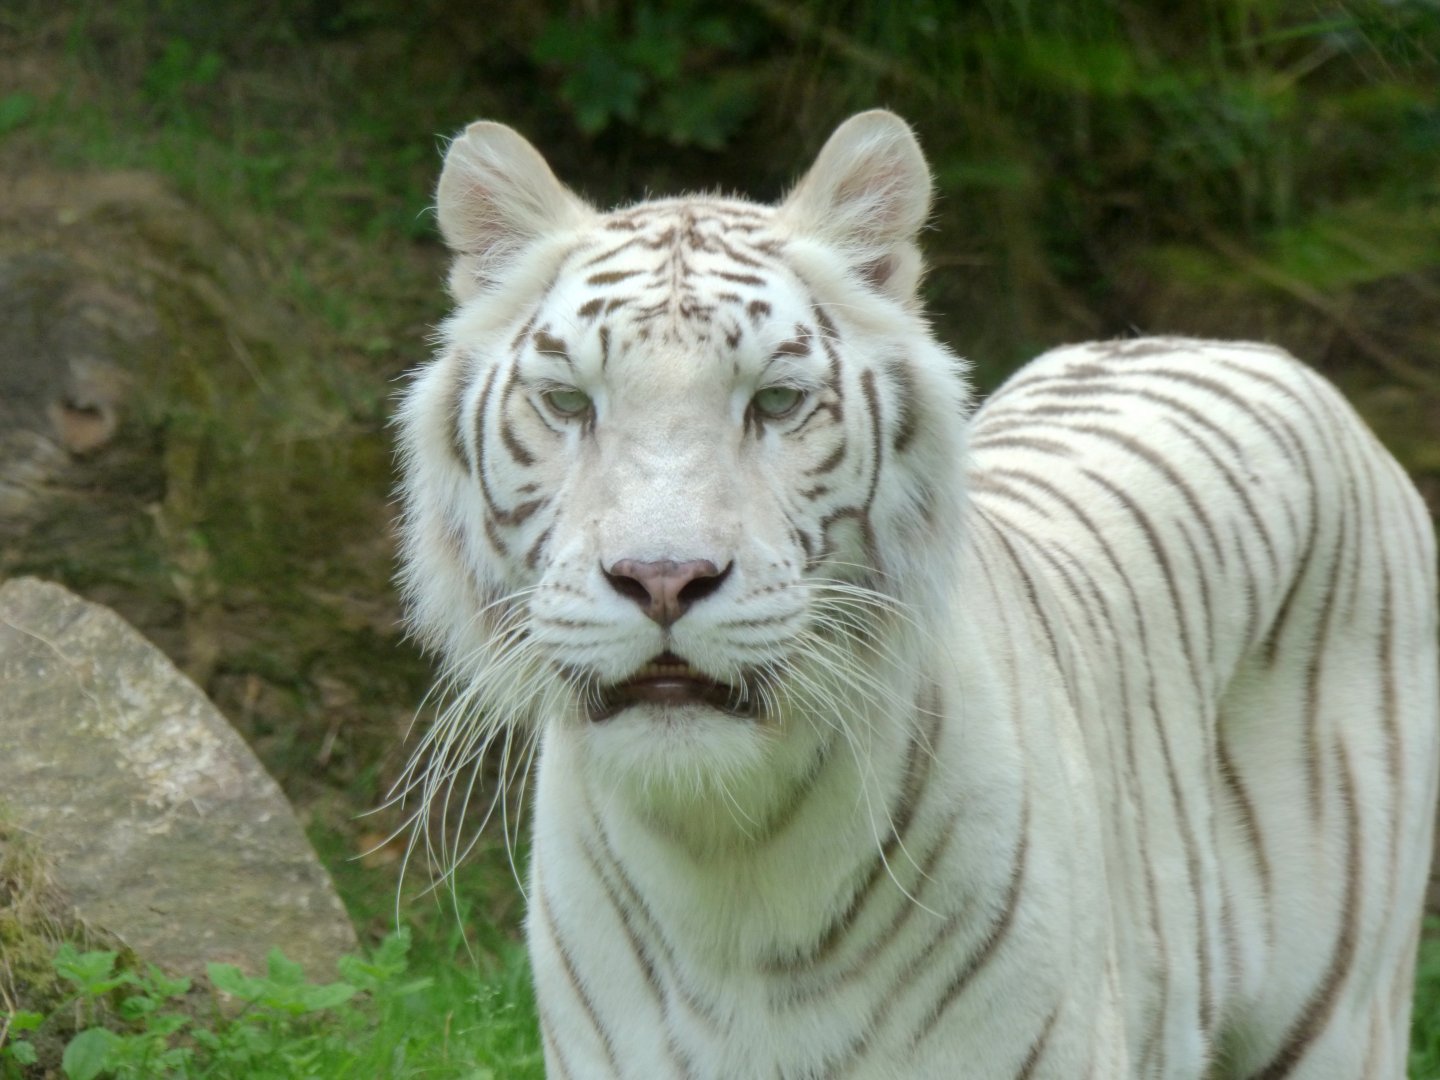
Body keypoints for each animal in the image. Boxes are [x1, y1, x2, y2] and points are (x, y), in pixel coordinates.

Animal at [392, 110, 1439, 1078]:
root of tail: (1240, 347)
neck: (724, 856)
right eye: (569, 402)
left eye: (776, 402)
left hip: (1343, 1018)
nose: (662, 578)